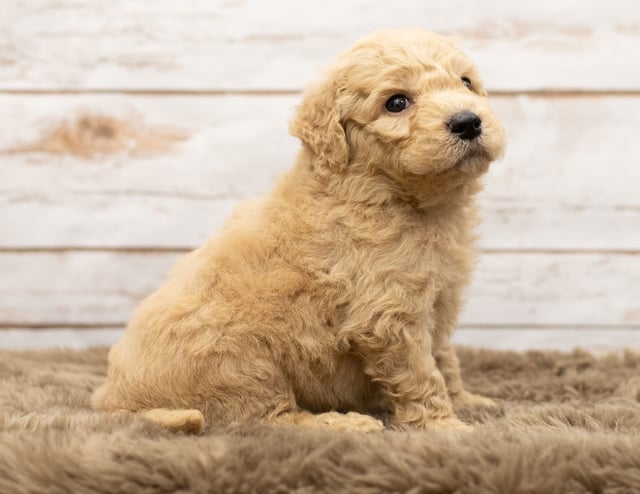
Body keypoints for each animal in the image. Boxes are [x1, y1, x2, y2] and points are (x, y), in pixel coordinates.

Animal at [94, 29, 504, 432]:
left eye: (466, 82)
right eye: (397, 103)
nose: (468, 122)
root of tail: (114, 399)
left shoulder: (436, 302)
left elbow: (445, 358)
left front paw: (469, 402)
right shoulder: (390, 316)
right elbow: (421, 373)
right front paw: (444, 426)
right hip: (241, 362)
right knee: (269, 418)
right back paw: (344, 424)